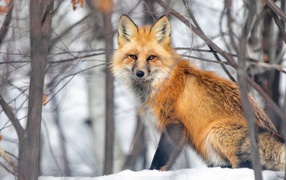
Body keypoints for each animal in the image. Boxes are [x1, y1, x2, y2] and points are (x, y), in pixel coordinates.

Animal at [111, 14, 284, 171]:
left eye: (151, 57)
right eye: (133, 56)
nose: (140, 73)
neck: (161, 82)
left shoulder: (175, 124)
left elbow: (160, 159)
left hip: (215, 132)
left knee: (245, 166)